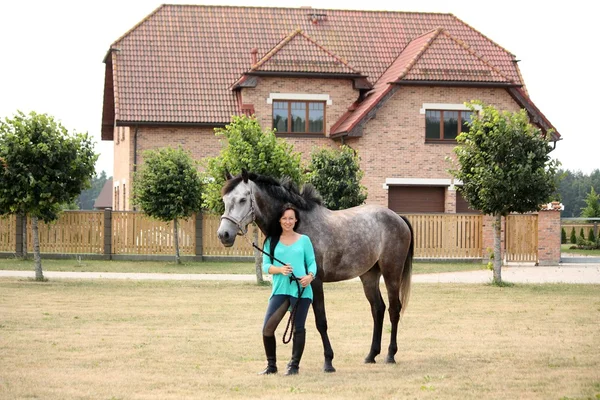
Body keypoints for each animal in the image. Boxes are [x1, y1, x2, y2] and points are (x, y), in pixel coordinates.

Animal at [216, 170, 412, 374]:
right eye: (224, 199)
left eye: (242, 199)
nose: (224, 235)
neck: (299, 223)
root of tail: (399, 218)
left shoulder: (314, 282)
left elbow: (321, 322)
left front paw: (328, 362)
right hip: (369, 275)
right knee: (378, 309)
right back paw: (371, 355)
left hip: (391, 273)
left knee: (394, 309)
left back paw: (390, 355)